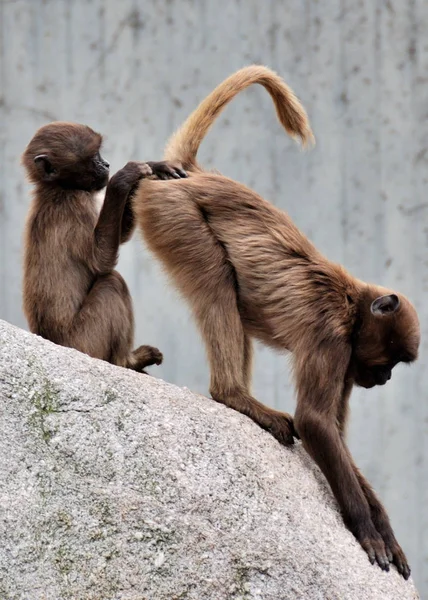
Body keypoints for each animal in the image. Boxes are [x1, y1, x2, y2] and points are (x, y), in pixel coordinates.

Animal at [21, 120, 186, 370]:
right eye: (93, 156)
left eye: (100, 153)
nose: (107, 164)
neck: (58, 189)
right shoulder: (75, 207)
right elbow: (101, 261)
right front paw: (123, 178)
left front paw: (152, 167)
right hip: (85, 342)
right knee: (112, 282)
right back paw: (128, 361)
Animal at [132, 64, 420, 576]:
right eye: (389, 360)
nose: (384, 379)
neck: (351, 303)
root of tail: (192, 176)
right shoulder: (331, 339)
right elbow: (316, 423)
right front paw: (367, 530)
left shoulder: (347, 359)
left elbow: (333, 432)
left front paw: (384, 528)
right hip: (173, 215)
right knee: (217, 283)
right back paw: (234, 396)